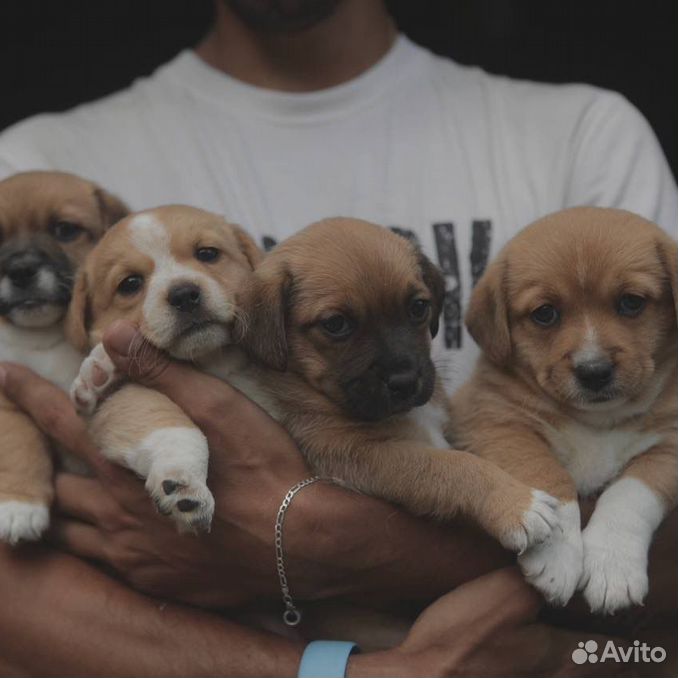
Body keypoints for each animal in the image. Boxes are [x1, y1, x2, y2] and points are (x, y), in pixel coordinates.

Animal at [0, 171, 129, 548]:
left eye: (65, 230)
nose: (21, 271)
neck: (47, 336)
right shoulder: (5, 396)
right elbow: (18, 439)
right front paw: (19, 506)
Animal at [70, 210, 564, 556]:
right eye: (336, 325)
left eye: (418, 308)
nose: (407, 382)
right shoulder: (354, 454)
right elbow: (451, 467)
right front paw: (517, 505)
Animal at [452, 207, 678, 616]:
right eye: (545, 314)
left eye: (631, 302)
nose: (594, 371)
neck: (596, 419)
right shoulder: (498, 423)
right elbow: (548, 474)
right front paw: (557, 554)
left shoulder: (670, 445)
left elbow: (630, 494)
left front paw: (613, 567)